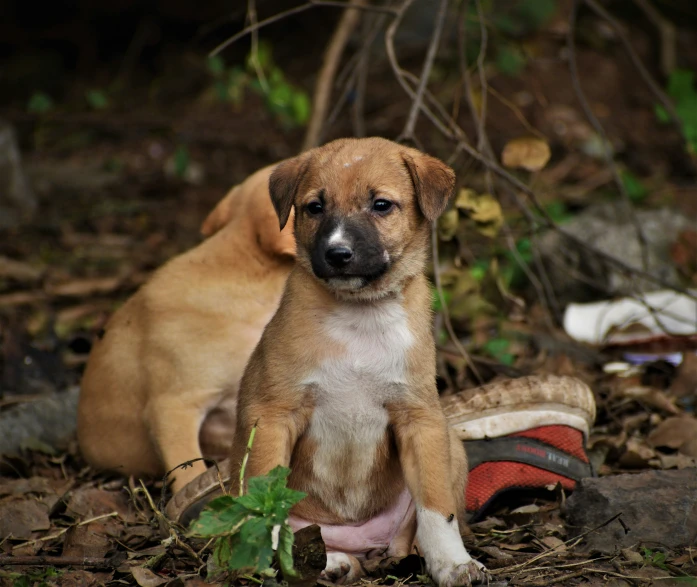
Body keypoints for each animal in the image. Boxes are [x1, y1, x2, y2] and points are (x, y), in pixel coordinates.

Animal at [227, 139, 484, 587]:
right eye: (314, 207)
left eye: (381, 205)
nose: (338, 253)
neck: (360, 316)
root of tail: (359, 540)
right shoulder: (272, 415)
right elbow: (269, 505)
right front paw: (272, 560)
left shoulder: (421, 418)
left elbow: (438, 508)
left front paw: (453, 564)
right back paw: (330, 563)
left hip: (450, 442)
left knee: (411, 531)